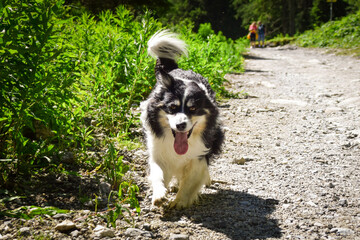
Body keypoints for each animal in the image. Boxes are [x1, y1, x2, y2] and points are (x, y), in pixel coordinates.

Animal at [141, 30, 224, 208]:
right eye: (172, 107)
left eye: (193, 109)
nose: (180, 125)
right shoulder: (158, 150)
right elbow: (157, 172)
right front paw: (159, 194)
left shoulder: (198, 153)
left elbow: (191, 180)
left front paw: (179, 202)